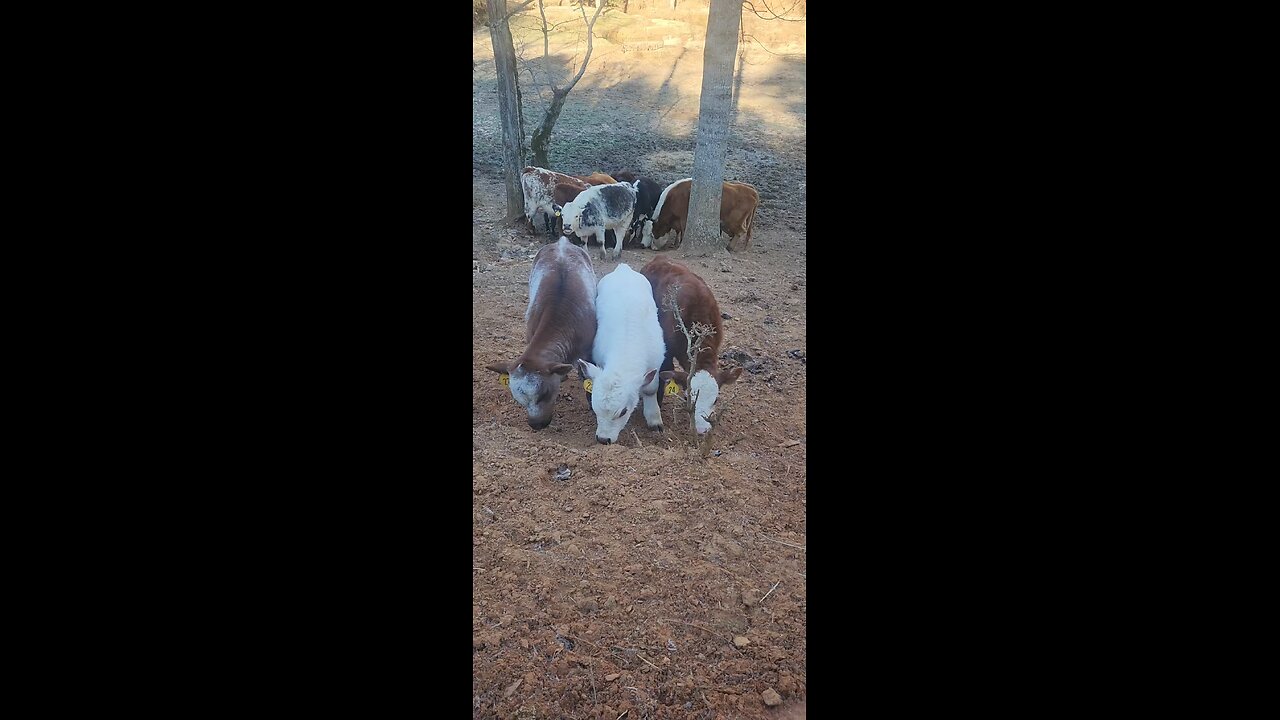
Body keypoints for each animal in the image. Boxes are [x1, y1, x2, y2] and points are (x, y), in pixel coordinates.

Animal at [578, 263, 666, 444]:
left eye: (623, 411)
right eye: (595, 408)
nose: (603, 439)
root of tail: (623, 268)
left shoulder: (656, 362)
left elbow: (650, 389)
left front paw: (654, 419)